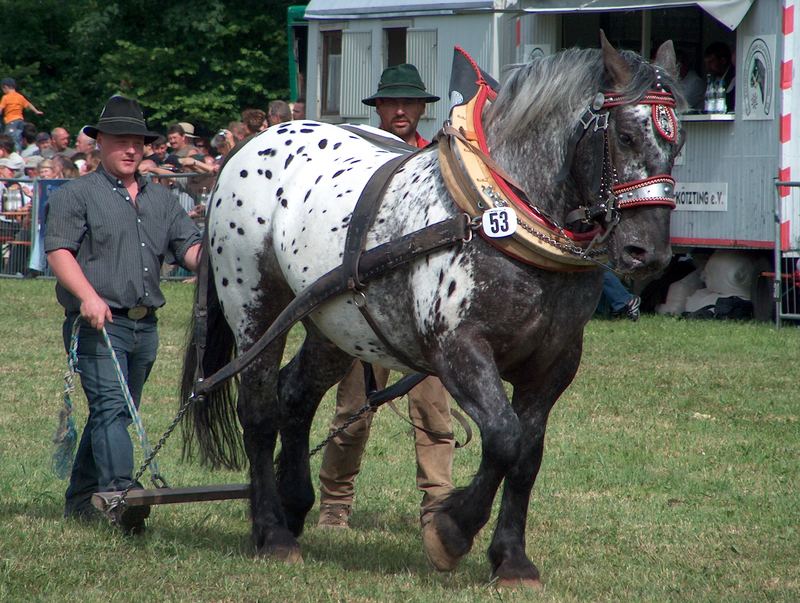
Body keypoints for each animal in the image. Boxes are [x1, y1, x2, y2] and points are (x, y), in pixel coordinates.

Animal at [183, 36, 688, 584]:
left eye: (678, 143)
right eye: (625, 135)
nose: (648, 254)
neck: (497, 215)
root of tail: (248, 146)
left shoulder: (553, 365)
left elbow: (528, 455)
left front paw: (511, 558)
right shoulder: (459, 351)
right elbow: (505, 437)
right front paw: (451, 531)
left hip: (332, 321)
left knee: (295, 395)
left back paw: (293, 506)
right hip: (256, 308)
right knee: (258, 410)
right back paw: (272, 531)